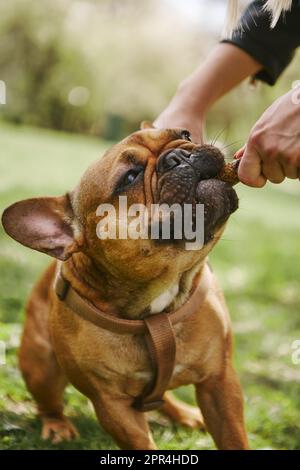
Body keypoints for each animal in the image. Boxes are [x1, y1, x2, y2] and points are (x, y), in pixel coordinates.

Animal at [1, 125, 248, 448]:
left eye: (186, 134)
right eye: (129, 178)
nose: (177, 156)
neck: (159, 301)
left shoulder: (219, 381)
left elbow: (234, 437)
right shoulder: (111, 404)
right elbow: (141, 442)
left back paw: (184, 413)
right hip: (40, 363)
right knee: (49, 402)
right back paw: (57, 427)